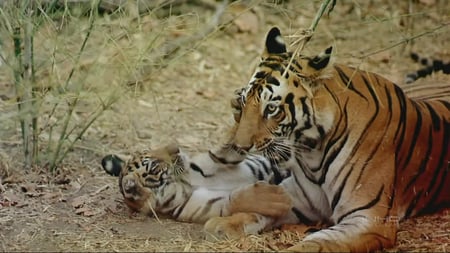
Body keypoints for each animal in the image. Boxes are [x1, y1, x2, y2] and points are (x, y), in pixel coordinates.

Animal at [205, 26, 450, 252]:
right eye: (244, 101)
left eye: (272, 109)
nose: (240, 146)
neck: (312, 149)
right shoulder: (300, 196)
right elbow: (257, 209)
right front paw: (220, 224)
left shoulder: (368, 218)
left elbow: (314, 244)